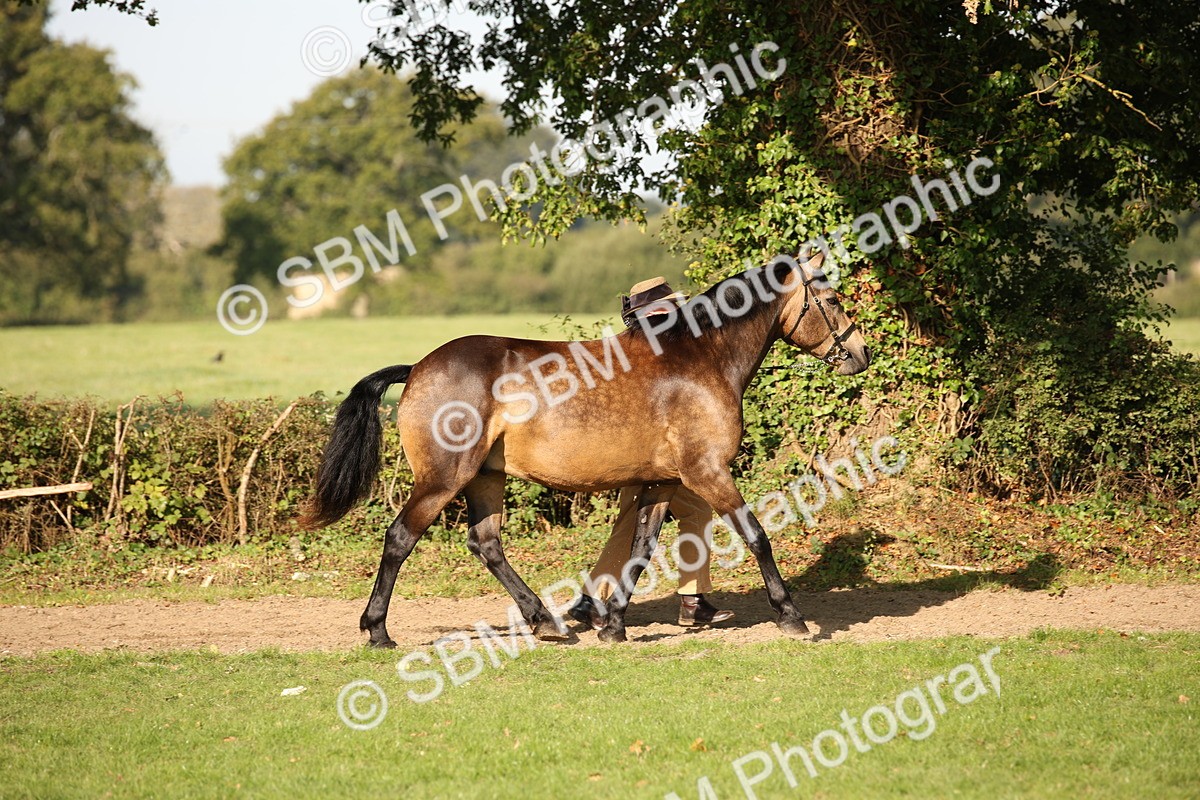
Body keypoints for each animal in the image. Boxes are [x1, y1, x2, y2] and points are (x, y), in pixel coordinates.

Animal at [301, 250, 871, 646]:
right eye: (832, 299)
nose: (860, 354)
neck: (700, 358)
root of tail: (418, 367)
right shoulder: (707, 472)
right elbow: (757, 537)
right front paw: (792, 617)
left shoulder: (661, 481)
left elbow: (639, 550)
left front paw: (613, 625)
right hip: (445, 478)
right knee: (400, 538)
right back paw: (378, 631)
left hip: (486, 477)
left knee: (486, 543)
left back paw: (546, 621)